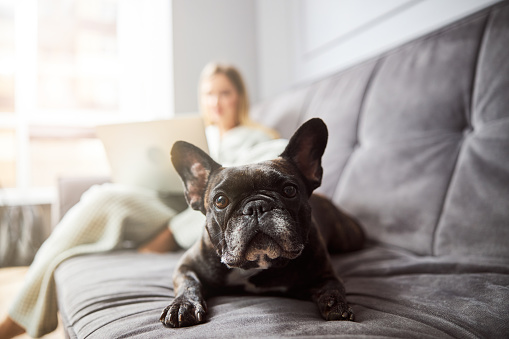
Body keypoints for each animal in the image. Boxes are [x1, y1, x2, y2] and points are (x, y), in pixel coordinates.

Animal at [161, 118, 364, 328]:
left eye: (289, 190)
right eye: (220, 200)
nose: (256, 206)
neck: (255, 265)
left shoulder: (324, 273)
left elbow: (333, 287)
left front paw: (337, 305)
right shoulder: (186, 266)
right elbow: (188, 283)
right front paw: (183, 305)